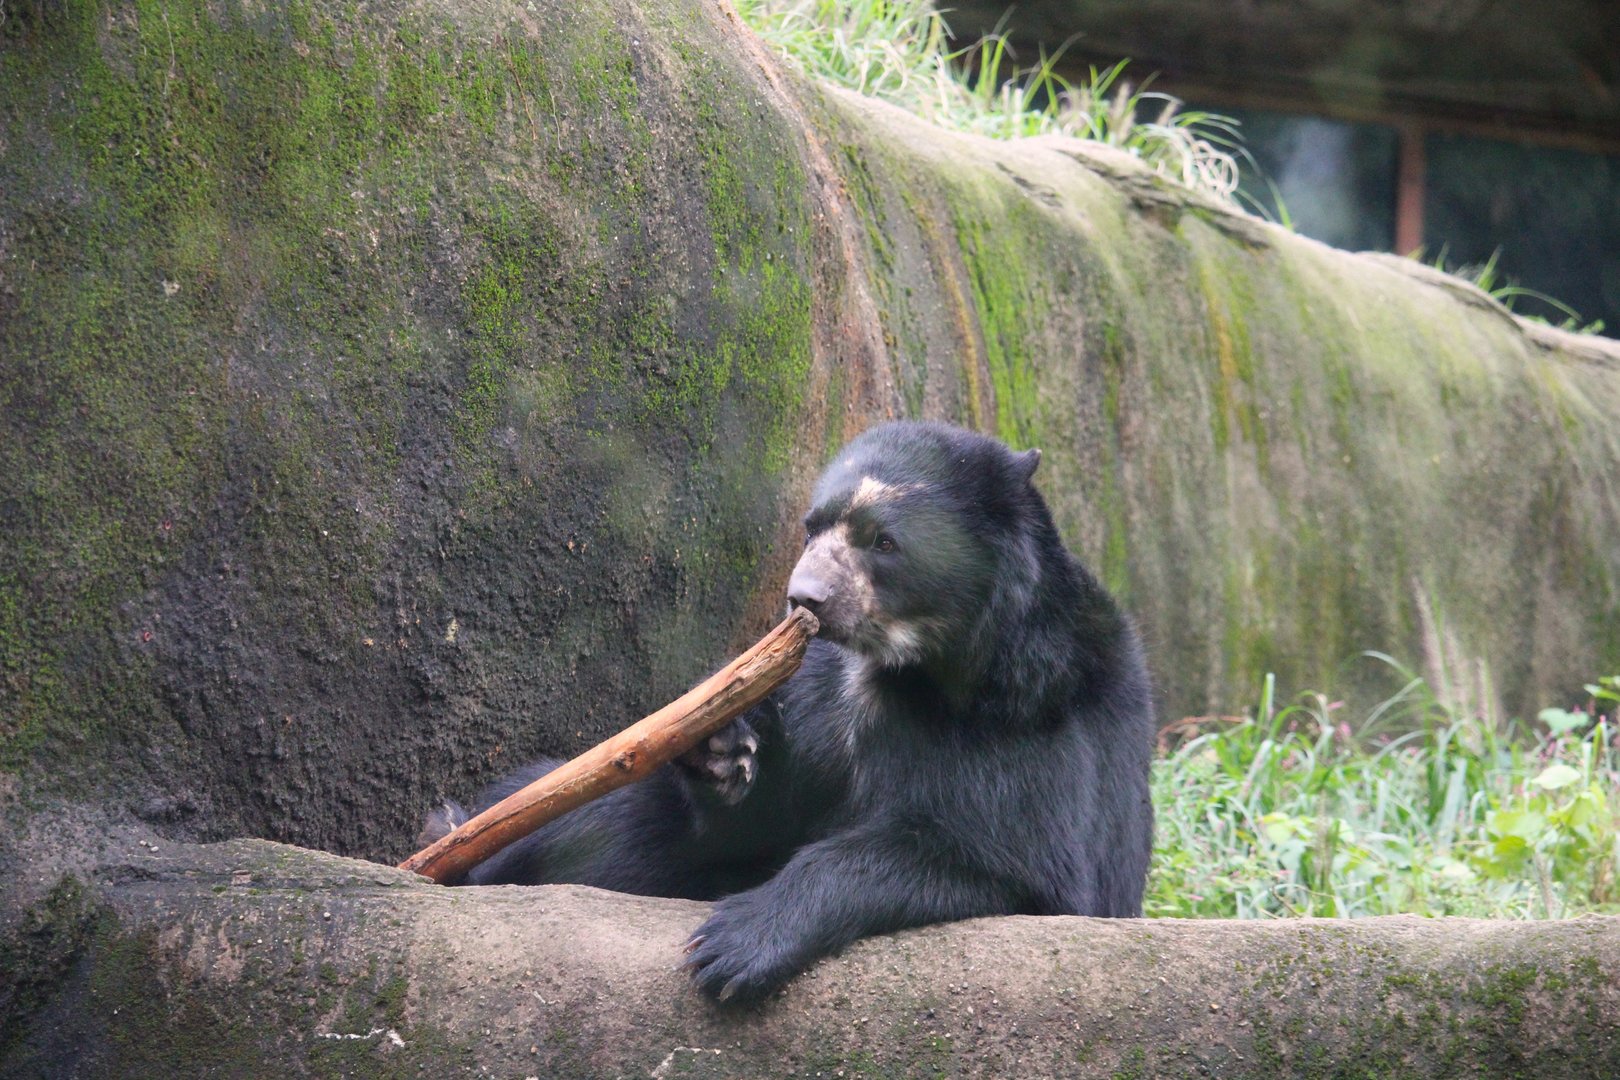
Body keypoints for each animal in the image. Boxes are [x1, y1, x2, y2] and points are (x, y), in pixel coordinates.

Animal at [421, 420, 1155, 1004]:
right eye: (813, 527)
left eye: (882, 541)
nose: (806, 598)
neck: (898, 666)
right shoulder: (819, 696)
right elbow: (759, 808)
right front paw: (720, 747)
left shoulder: (1026, 713)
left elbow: (1004, 856)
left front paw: (732, 945)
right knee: (596, 820)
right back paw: (456, 835)